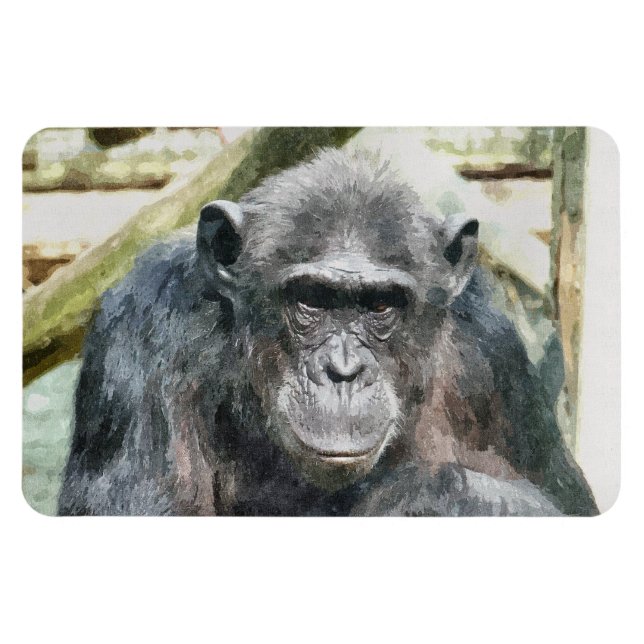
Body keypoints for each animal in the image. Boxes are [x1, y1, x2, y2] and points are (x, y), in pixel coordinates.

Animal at [58, 149, 597, 516]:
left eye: (380, 304)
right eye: (312, 300)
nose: (343, 370)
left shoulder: (493, 357)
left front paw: (428, 494)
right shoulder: (144, 332)